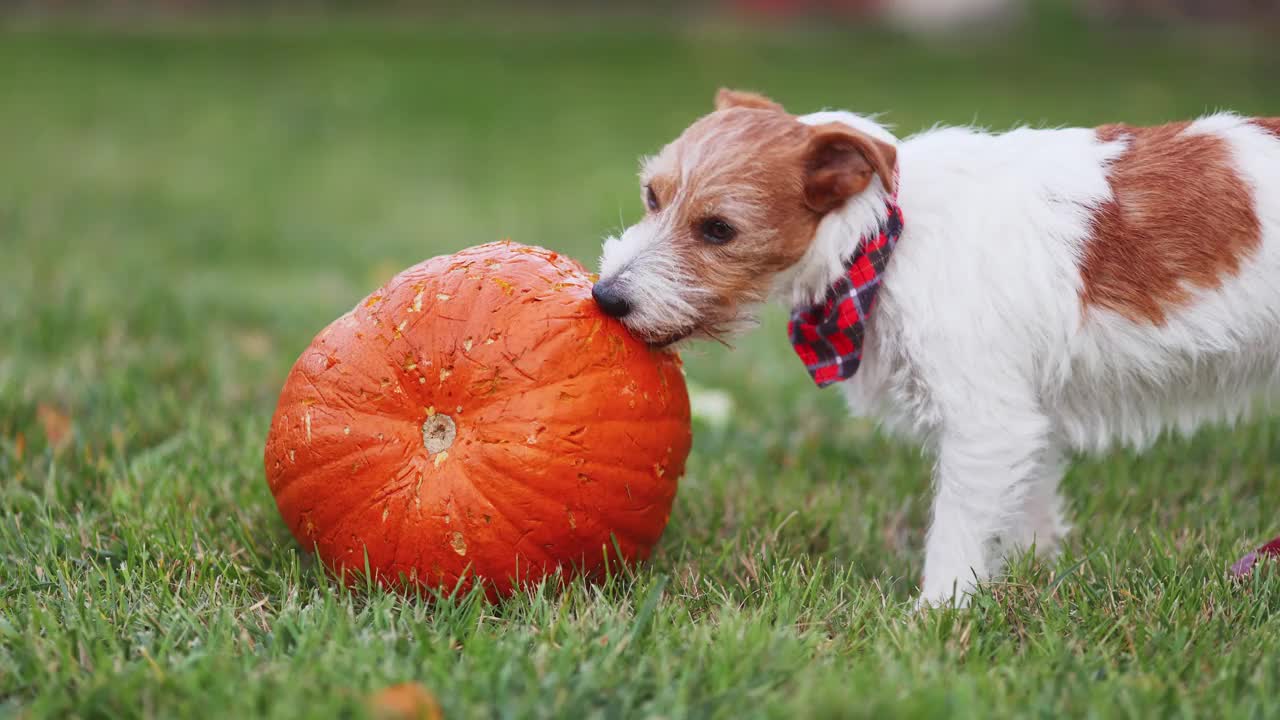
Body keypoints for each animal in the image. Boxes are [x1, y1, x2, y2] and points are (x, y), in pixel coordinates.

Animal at [591, 88, 1280, 604]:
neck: (882, 239)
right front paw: (1026, 581)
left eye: (719, 229)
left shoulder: (987, 424)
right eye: (652, 195)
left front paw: (937, 618)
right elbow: (1028, 513)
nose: (606, 296)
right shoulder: (1025, 416)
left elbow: (958, 532)